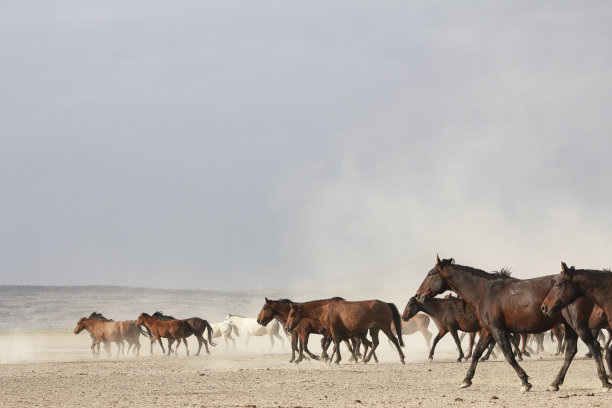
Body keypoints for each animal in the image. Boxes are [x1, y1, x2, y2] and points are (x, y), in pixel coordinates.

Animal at [414, 255, 608, 392]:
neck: (485, 291)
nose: (418, 295)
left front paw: (525, 381)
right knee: (570, 352)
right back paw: (555, 383)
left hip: (578, 325)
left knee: (595, 346)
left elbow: (509, 355)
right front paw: (466, 380)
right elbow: (476, 353)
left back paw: (605, 381)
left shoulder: (498, 330)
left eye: (430, 273)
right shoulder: (487, 330)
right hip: (569, 326)